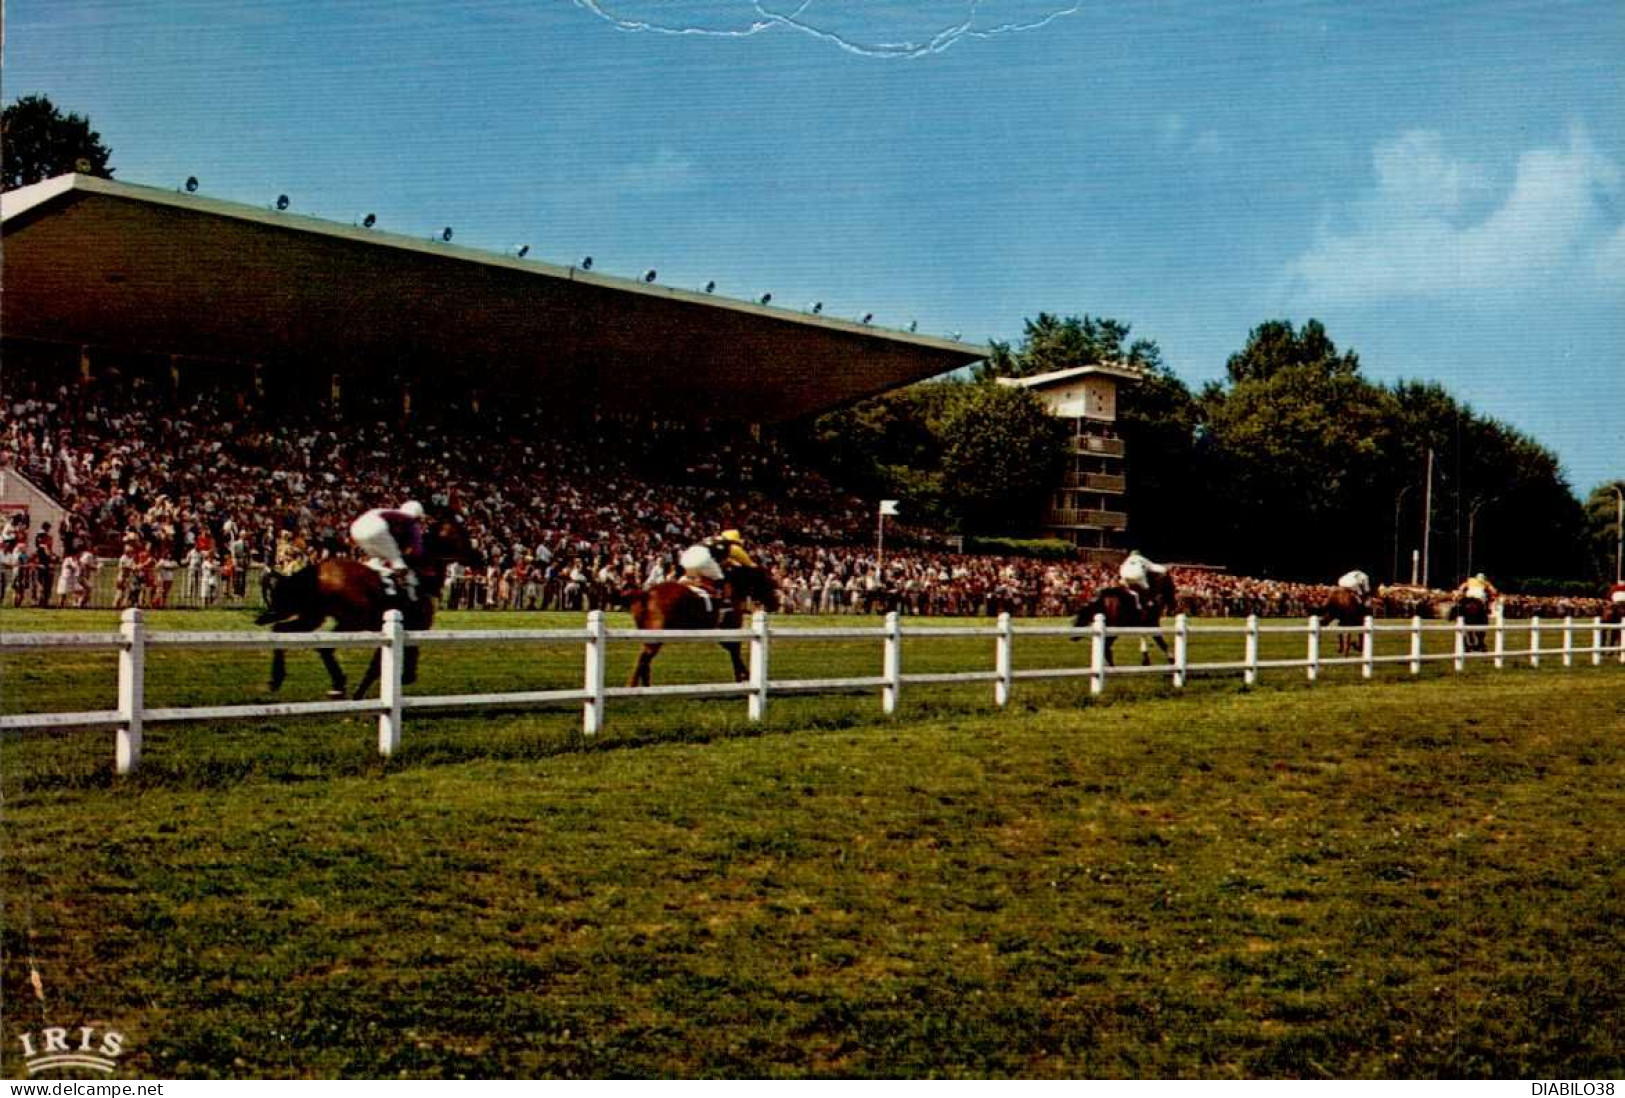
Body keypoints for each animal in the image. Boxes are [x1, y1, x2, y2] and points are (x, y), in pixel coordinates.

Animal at [253, 516, 471, 704]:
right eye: (463, 534)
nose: (476, 556)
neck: (423, 574)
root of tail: (317, 569)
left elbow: (379, 666)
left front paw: (361, 695)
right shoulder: (417, 627)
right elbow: (386, 667)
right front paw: (368, 693)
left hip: (313, 616)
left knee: (281, 630)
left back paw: (277, 679)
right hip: (350, 621)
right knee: (324, 648)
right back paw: (337, 684)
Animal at [627, 565, 780, 685]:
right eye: (770, 584)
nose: (776, 603)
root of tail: (647, 594)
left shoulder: (722, 633)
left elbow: (733, 653)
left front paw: (743, 678)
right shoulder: (731, 629)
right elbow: (735, 653)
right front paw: (744, 678)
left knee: (645, 661)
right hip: (656, 636)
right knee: (643, 658)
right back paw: (632, 686)